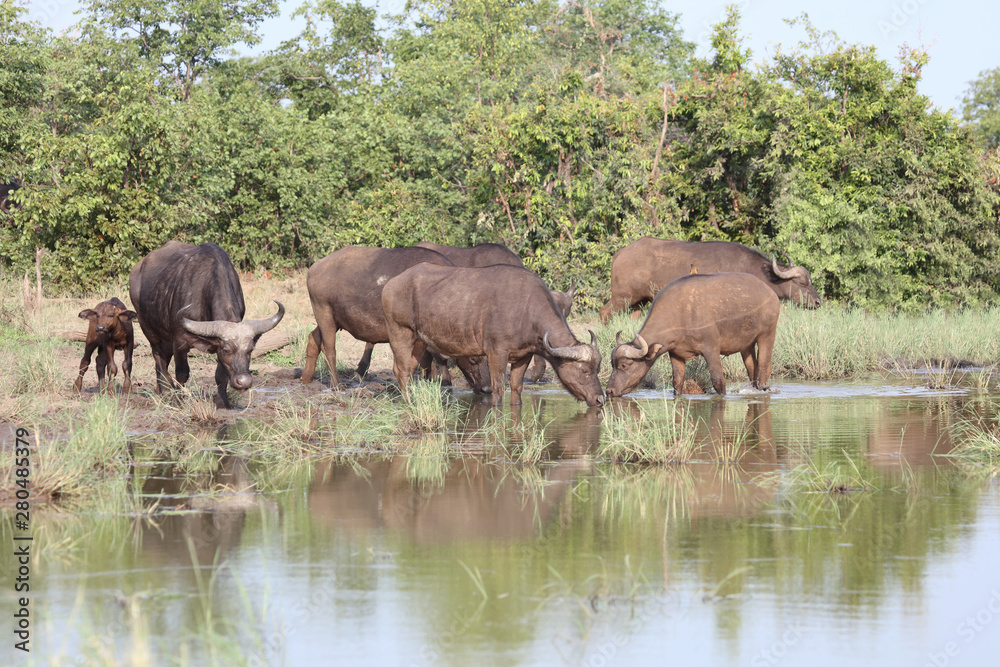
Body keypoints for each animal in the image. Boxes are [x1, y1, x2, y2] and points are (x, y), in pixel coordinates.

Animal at [128, 241, 284, 408]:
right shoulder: (180, 341)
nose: (244, 382)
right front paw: (180, 399)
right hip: (149, 329)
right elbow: (182, 373)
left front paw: (223, 401)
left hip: (166, 339)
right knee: (159, 360)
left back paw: (161, 390)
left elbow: (221, 375)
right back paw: (165, 391)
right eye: (226, 350)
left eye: (251, 349)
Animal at [381, 264, 604, 406]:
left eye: (598, 370)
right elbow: (498, 388)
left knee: (408, 369)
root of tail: (390, 285)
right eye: (584, 371)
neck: (526, 311)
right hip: (400, 333)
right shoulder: (497, 353)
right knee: (401, 370)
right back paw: (410, 403)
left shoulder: (523, 356)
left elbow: (516, 387)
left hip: (419, 341)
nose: (600, 399)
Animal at [599, 237, 821, 322]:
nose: (818, 302)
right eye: (802, 283)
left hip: (638, 302)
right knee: (603, 313)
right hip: (621, 297)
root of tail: (619, 254)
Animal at [605, 272, 780, 397]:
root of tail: (770, 293)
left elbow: (718, 381)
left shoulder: (711, 350)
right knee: (752, 371)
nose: (609, 391)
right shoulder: (675, 354)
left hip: (767, 335)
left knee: (763, 369)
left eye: (624, 365)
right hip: (747, 345)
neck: (679, 313)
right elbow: (677, 382)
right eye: (612, 365)